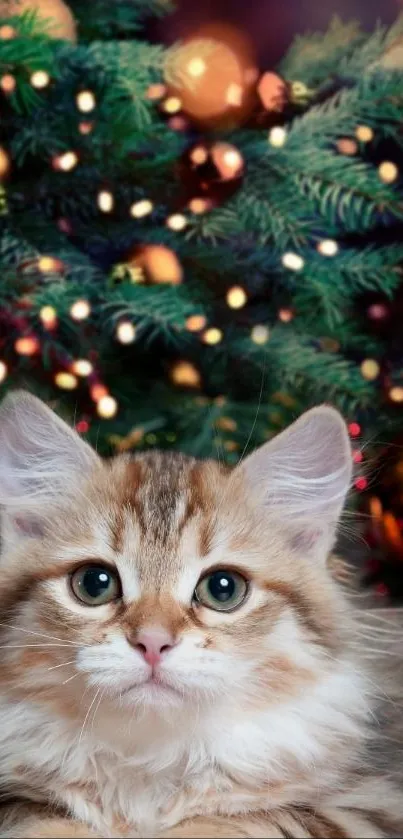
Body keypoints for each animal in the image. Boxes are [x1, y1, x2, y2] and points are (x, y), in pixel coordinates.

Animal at [0, 394, 402, 839]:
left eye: (223, 588)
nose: (153, 642)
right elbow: (45, 821)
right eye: (94, 583)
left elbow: (236, 819)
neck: (151, 760)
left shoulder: (365, 804)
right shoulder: (18, 800)